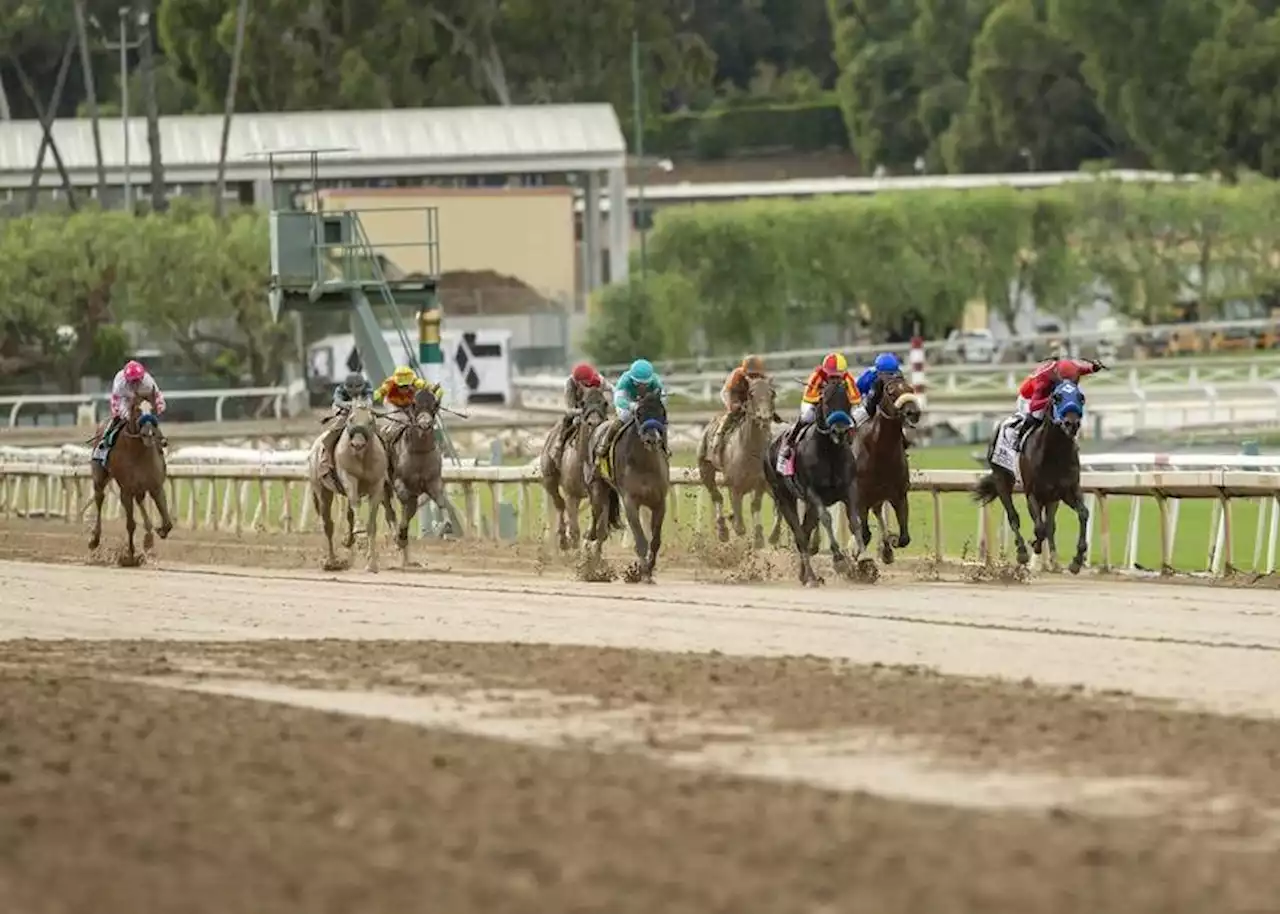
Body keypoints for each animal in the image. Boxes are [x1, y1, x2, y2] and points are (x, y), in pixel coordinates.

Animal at [87, 399, 172, 563]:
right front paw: (130, 555)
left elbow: (167, 522)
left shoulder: (156, 487)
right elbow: (130, 524)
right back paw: (94, 539)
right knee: (99, 497)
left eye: (153, 408)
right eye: (137, 409)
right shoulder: (125, 490)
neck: (139, 452)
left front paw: (158, 532)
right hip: (100, 477)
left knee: (139, 500)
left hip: (140, 487)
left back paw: (149, 537)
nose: (149, 433)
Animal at [586, 389, 670, 581]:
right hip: (598, 487)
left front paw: (647, 568)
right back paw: (592, 561)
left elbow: (655, 541)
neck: (645, 464)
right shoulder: (630, 501)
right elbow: (640, 539)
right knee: (598, 524)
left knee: (602, 530)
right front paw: (643, 573)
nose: (652, 439)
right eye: (638, 413)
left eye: (662, 412)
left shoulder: (659, 502)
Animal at [762, 371, 865, 581]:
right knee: (799, 534)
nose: (840, 431)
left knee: (805, 529)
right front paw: (839, 560)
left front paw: (862, 555)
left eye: (847, 401)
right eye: (826, 401)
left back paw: (805, 574)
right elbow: (826, 518)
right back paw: (810, 576)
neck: (830, 452)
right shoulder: (812, 492)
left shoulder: (849, 488)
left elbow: (854, 519)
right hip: (783, 496)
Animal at [860, 371, 921, 563]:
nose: (913, 412)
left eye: (910, 389)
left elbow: (904, 538)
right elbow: (864, 534)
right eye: (891, 391)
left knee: (878, 513)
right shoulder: (859, 498)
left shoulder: (899, 495)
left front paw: (890, 543)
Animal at [977, 376, 1090, 568]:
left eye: (1081, 397)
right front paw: (1033, 545)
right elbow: (1039, 528)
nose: (1072, 424)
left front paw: (1077, 559)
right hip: (1001, 480)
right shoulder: (1032, 493)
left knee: (1050, 524)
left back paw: (1053, 561)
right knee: (1013, 516)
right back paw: (1022, 551)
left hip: (1051, 497)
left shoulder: (1068, 490)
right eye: (1057, 397)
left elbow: (1083, 514)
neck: (1055, 454)